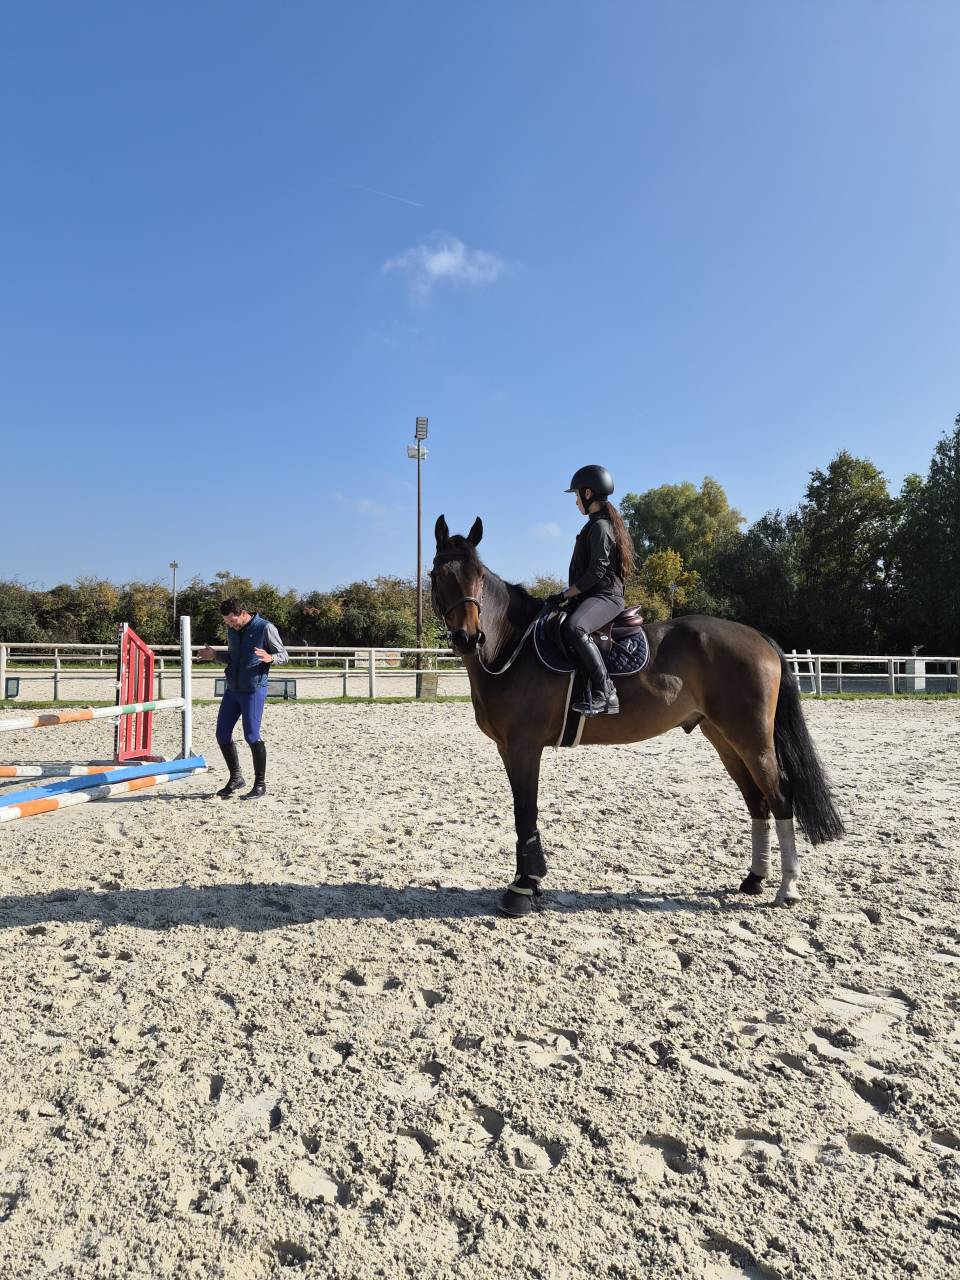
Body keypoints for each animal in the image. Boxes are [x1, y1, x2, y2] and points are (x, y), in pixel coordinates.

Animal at [430, 515, 844, 918]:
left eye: (478, 576)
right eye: (439, 573)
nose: (469, 638)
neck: (512, 646)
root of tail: (759, 638)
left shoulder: (523, 747)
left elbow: (525, 812)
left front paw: (522, 888)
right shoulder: (509, 748)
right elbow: (523, 812)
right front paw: (530, 883)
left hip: (752, 740)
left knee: (780, 797)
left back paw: (787, 887)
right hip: (725, 739)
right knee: (757, 801)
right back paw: (754, 879)